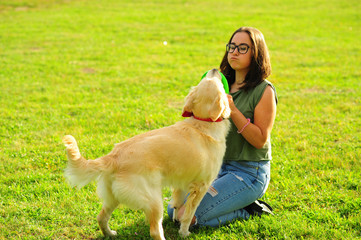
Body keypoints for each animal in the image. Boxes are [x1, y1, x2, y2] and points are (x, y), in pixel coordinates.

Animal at [63, 68, 229, 239]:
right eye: (218, 83)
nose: (214, 69)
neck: (202, 122)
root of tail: (114, 156)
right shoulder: (201, 187)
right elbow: (188, 215)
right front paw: (184, 232)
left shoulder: (181, 182)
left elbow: (177, 205)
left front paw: (176, 219)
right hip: (154, 201)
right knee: (155, 230)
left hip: (112, 197)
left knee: (101, 217)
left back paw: (110, 233)